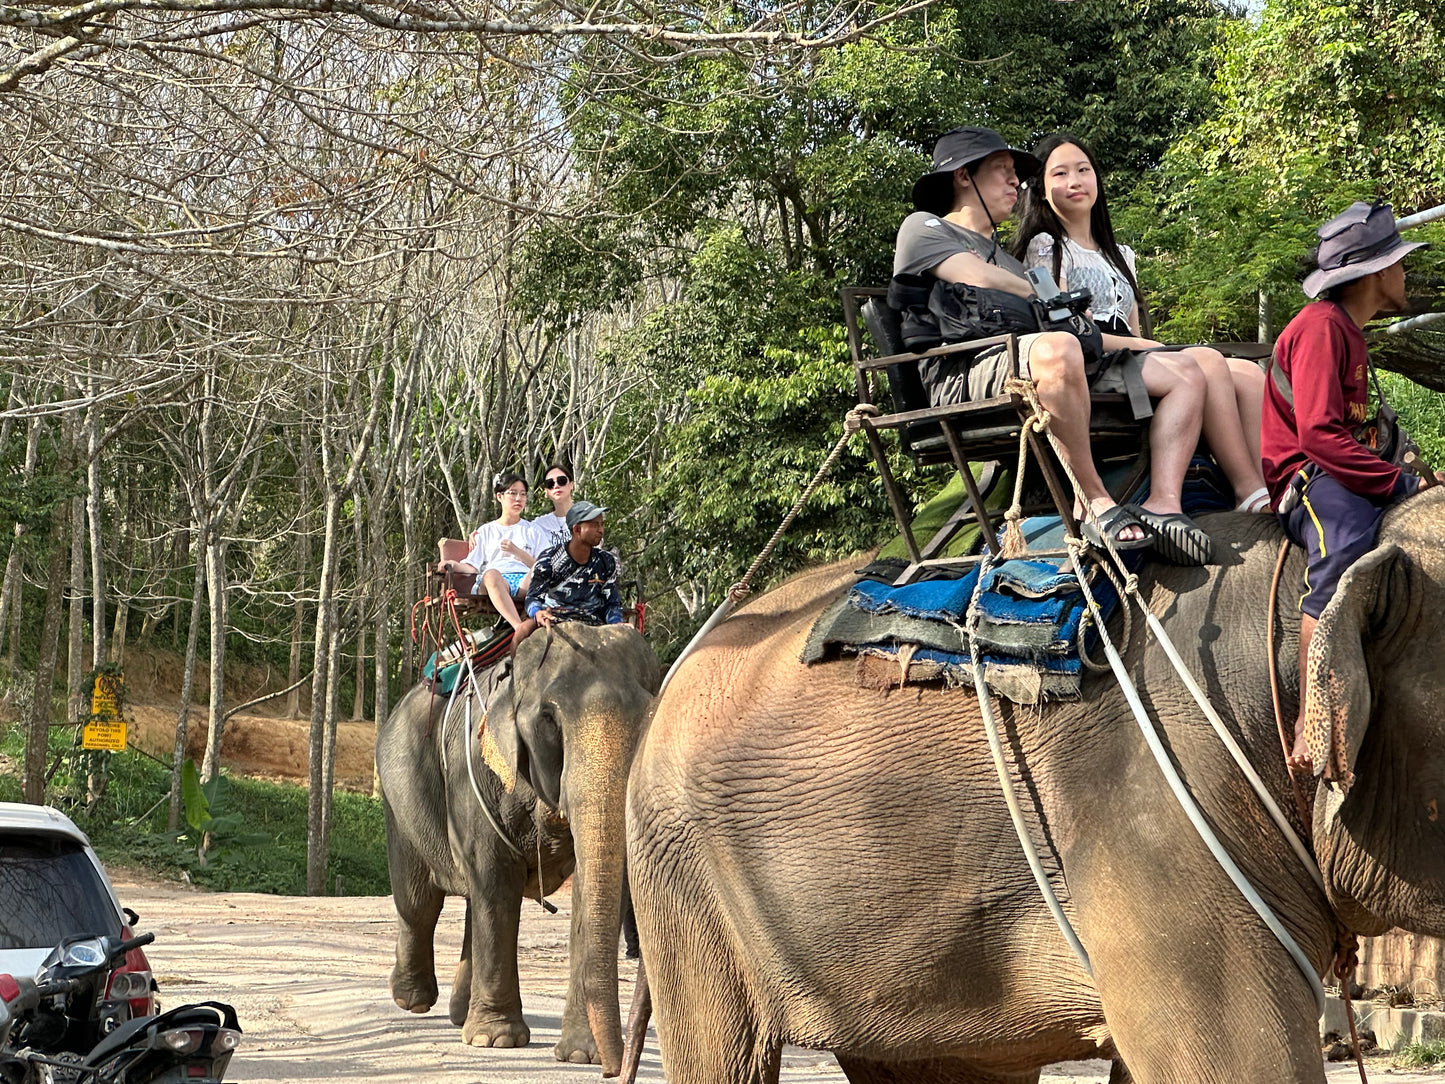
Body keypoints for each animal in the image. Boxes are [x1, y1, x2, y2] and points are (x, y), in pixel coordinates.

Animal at [378, 624, 661, 1075]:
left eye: (649, 718)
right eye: (548, 720)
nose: (614, 1068)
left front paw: (581, 1054)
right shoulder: (476, 772)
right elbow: (495, 877)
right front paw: (496, 1041)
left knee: (470, 901)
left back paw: (460, 1013)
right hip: (399, 789)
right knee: (420, 901)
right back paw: (413, 999)